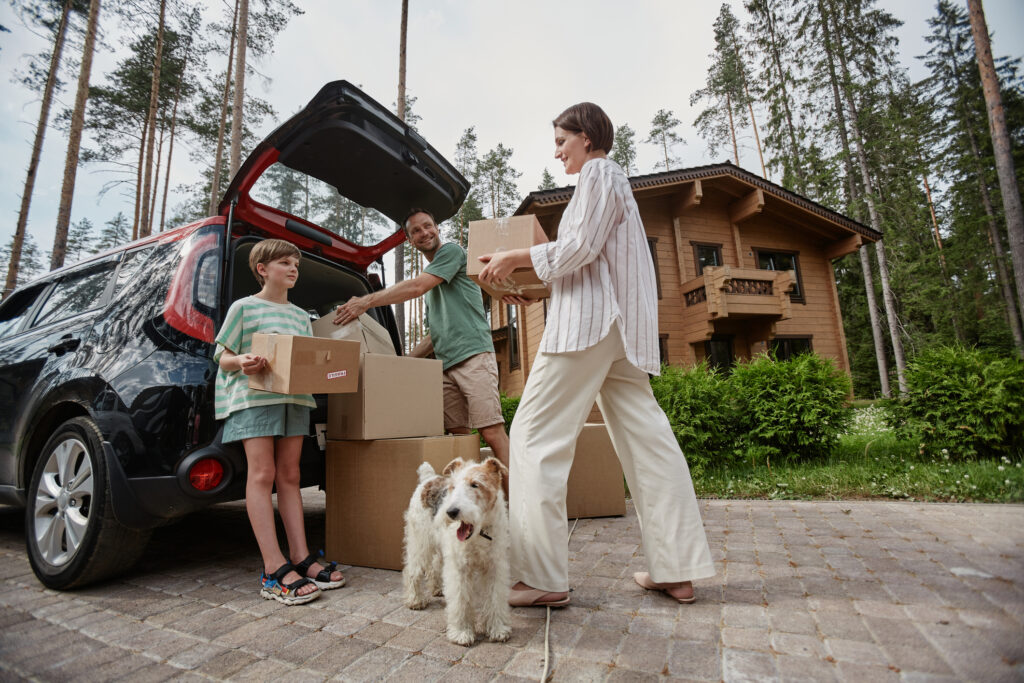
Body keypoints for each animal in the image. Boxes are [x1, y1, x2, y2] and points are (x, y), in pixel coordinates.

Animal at [401, 458, 509, 647]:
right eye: (452, 487)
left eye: (475, 484)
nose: (451, 512)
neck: (480, 533)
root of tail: (428, 479)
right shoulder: (460, 568)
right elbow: (461, 601)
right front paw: (461, 633)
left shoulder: (494, 567)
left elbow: (495, 598)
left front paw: (497, 630)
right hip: (420, 543)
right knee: (412, 571)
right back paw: (415, 600)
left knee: (434, 566)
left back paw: (437, 588)